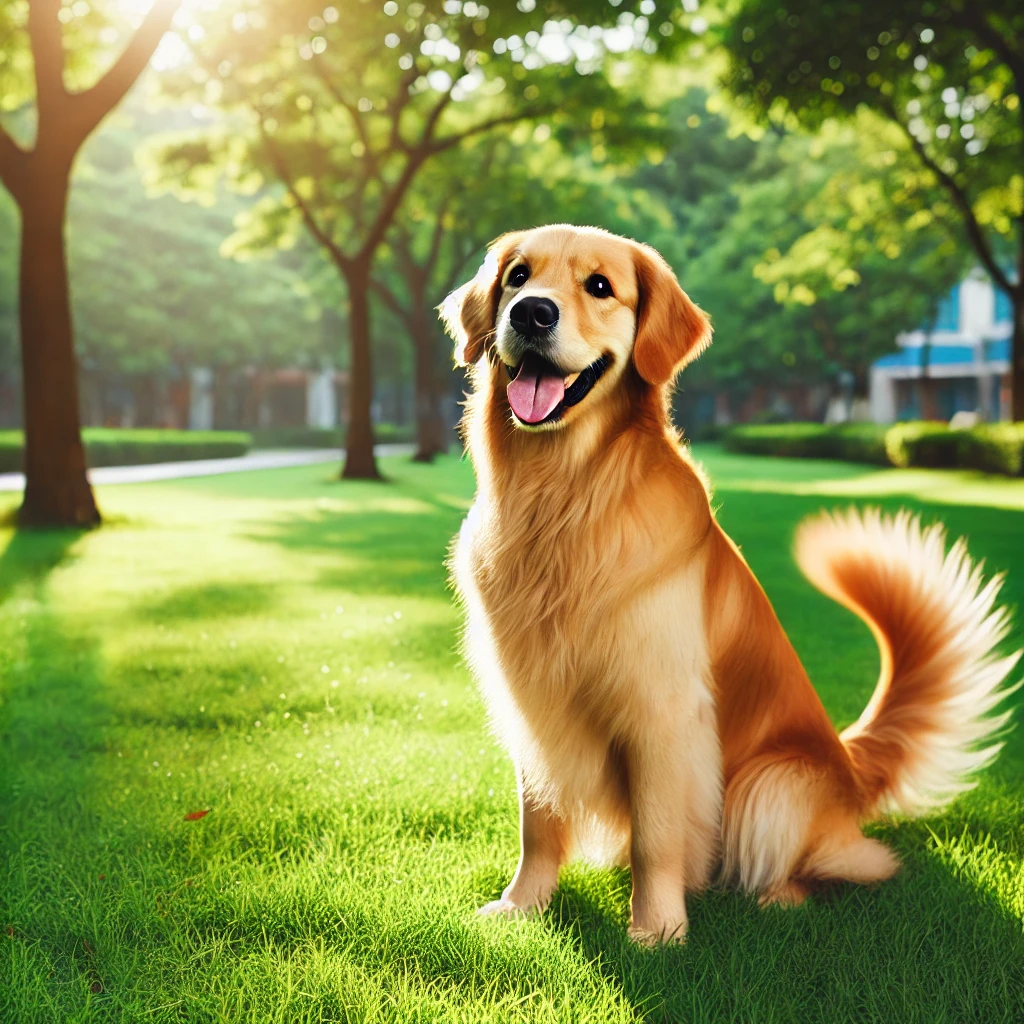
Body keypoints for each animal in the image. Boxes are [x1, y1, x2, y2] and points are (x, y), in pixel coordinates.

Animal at [438, 222, 1015, 942]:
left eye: (599, 285)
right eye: (517, 276)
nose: (531, 313)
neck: (566, 499)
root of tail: (850, 765)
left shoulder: (661, 710)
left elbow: (656, 837)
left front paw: (656, 933)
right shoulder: (534, 701)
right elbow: (537, 823)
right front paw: (522, 907)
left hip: (770, 786)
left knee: (856, 864)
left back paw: (776, 899)